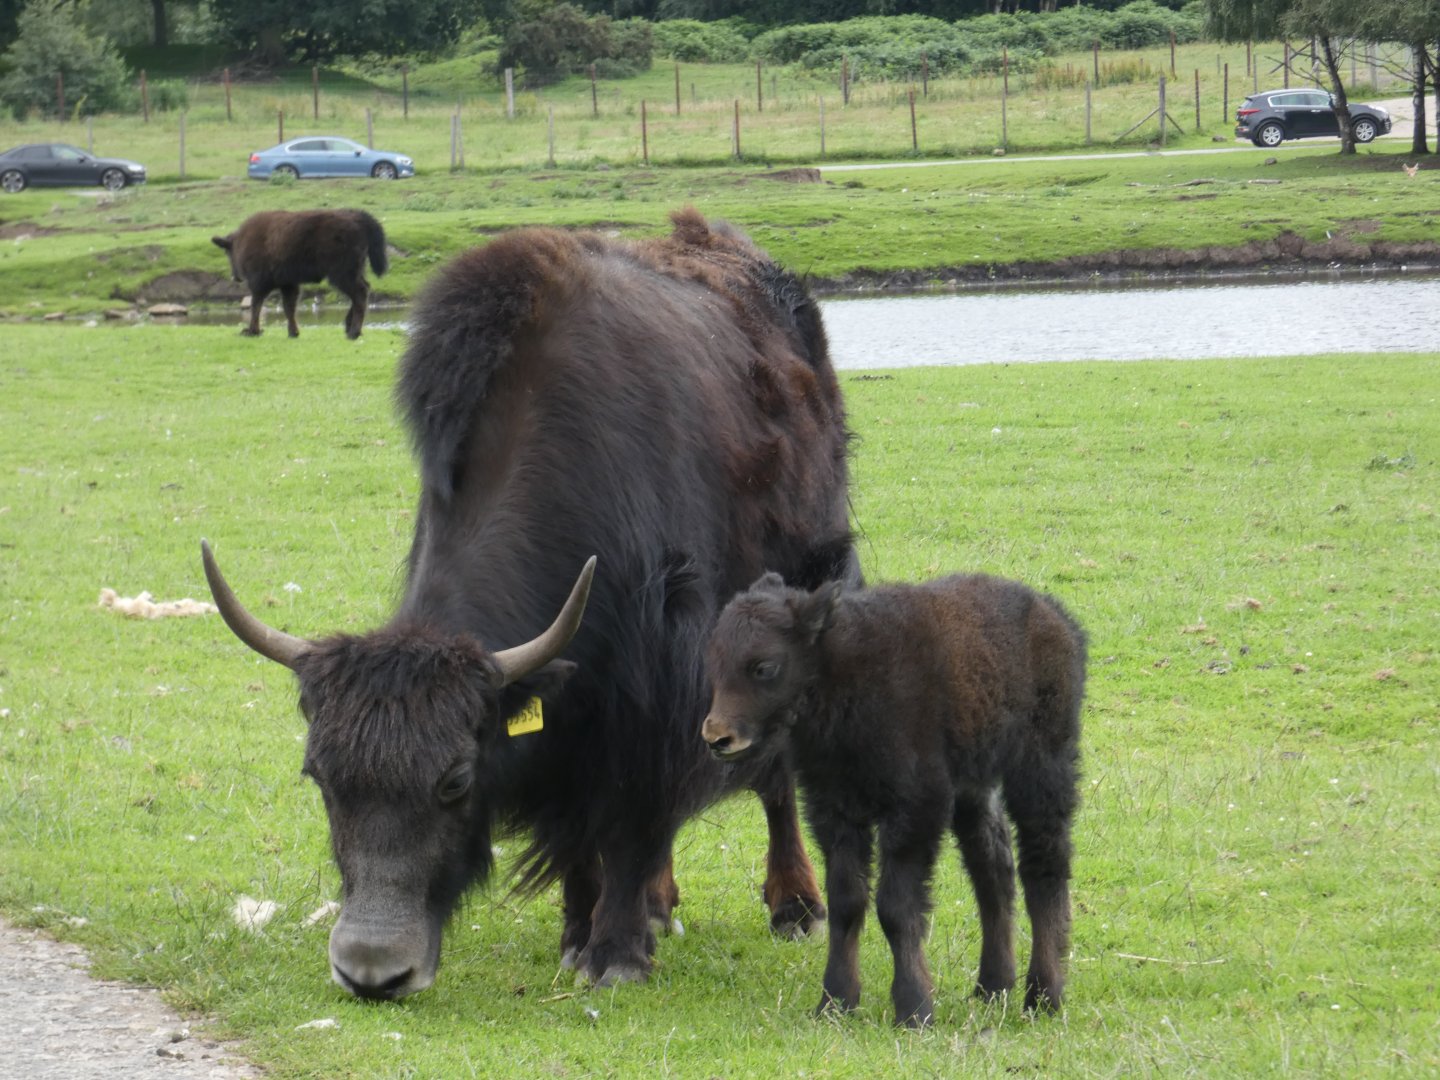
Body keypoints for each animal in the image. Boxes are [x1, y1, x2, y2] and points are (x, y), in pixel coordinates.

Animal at [211, 208, 388, 339]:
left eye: (228, 252)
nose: (235, 276)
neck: (243, 240)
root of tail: (359, 218)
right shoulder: (288, 284)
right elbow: (289, 307)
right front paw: (293, 332)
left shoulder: (260, 283)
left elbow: (256, 305)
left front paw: (252, 331)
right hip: (354, 271)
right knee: (362, 291)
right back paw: (349, 327)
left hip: (342, 274)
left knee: (360, 293)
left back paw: (353, 332)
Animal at [701, 572, 1087, 1026]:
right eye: (714, 664)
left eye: (764, 667)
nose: (718, 737)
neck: (842, 666)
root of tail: (1054, 617)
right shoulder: (835, 812)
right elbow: (847, 902)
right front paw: (835, 1003)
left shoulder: (914, 809)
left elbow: (896, 908)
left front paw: (914, 1010)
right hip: (974, 788)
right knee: (993, 868)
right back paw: (992, 987)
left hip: (1041, 769)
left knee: (1044, 866)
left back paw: (1043, 997)